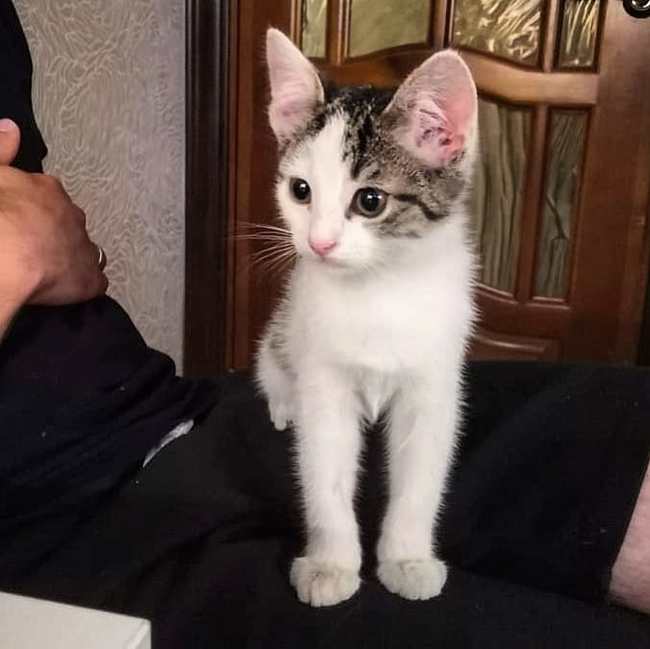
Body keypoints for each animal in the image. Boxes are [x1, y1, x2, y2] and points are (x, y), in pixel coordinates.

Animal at [256, 28, 478, 607]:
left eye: (371, 201)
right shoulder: (323, 380)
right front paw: (330, 564)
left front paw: (407, 558)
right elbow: (325, 471)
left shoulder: (434, 385)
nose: (318, 243)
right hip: (282, 333)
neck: (379, 288)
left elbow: (421, 477)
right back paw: (283, 404)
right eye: (300, 191)